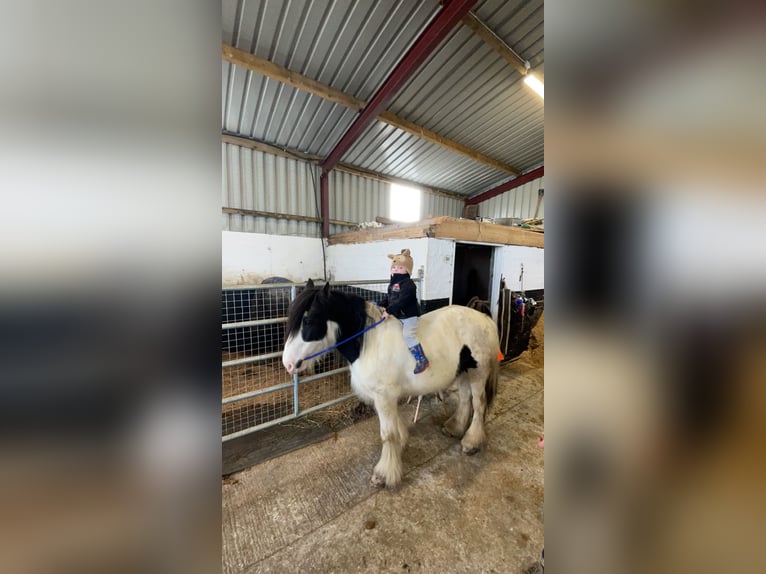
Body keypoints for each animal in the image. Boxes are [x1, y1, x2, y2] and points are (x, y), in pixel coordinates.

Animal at [284, 282, 500, 488]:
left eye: (308, 321)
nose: (288, 364)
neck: (370, 343)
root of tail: (484, 318)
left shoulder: (384, 397)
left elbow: (387, 434)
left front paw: (383, 474)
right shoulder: (387, 397)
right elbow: (395, 427)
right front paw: (401, 444)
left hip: (478, 373)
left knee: (479, 404)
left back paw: (471, 442)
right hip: (463, 372)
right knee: (465, 399)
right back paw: (455, 427)